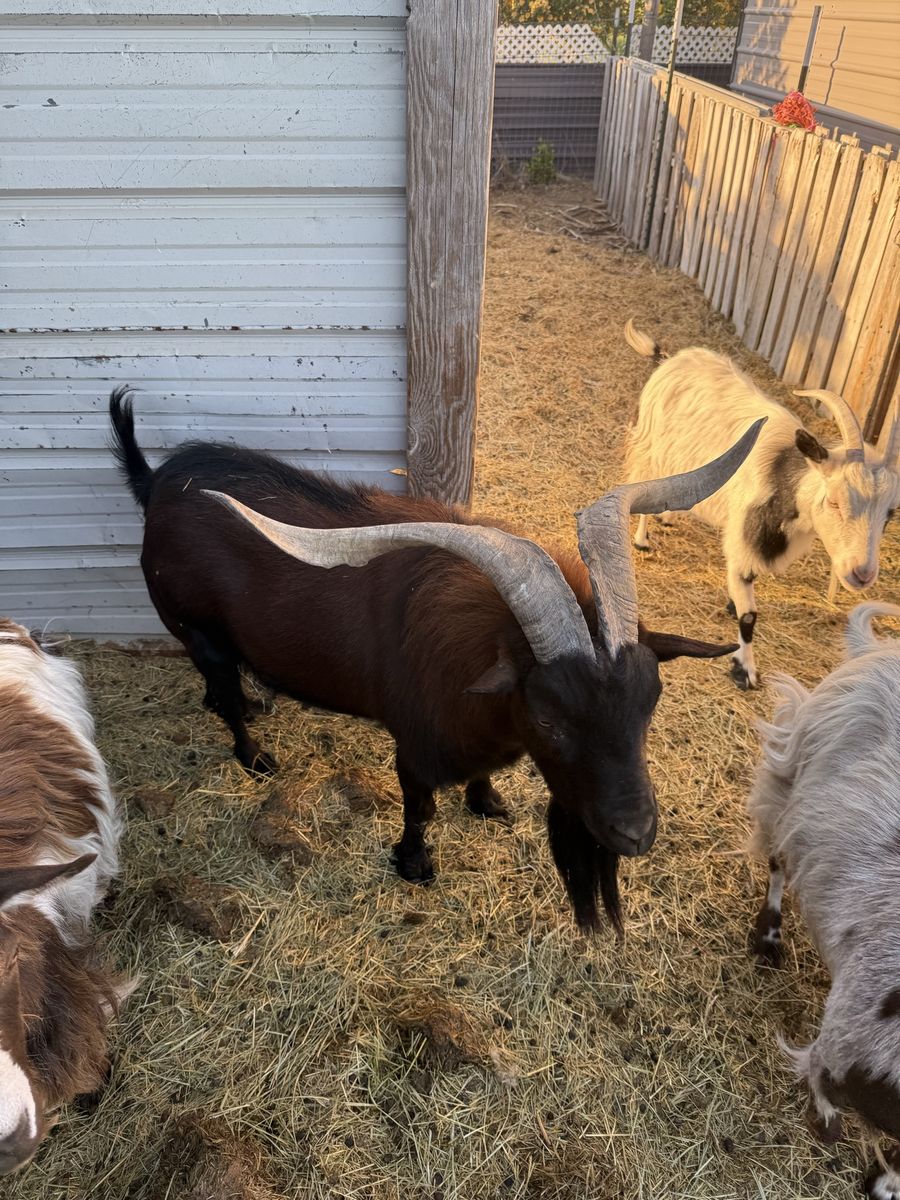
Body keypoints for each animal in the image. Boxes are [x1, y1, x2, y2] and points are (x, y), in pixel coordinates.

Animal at [109, 386, 760, 931]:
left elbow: (481, 777)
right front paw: (414, 865)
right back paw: (255, 756)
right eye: (548, 720)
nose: (635, 833)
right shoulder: (416, 748)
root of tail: (157, 484)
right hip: (195, 627)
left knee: (221, 688)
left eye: (649, 705)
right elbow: (420, 809)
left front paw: (488, 803)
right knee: (221, 691)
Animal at [623, 320, 900, 689]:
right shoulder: (743, 537)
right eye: (834, 501)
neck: (782, 476)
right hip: (651, 444)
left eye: (890, 513)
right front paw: (745, 671)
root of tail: (669, 357)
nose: (862, 574)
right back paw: (642, 540)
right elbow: (749, 616)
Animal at [747, 601, 900, 1199]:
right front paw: (826, 1125)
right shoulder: (843, 1038)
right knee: (776, 858)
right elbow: (820, 1081)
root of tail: (873, 650)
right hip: (788, 775)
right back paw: (767, 937)